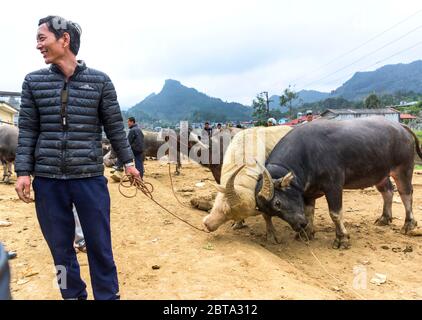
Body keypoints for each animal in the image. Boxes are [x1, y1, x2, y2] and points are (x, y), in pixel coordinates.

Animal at [256, 117, 420, 250]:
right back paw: (385, 218)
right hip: (381, 174)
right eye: (266, 210)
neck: (306, 154)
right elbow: (309, 211)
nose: (299, 225)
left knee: (406, 193)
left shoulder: (333, 186)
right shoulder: (308, 192)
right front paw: (307, 233)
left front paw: (342, 239)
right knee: (388, 191)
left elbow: (335, 213)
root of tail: (400, 126)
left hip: (403, 169)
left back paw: (409, 224)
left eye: (277, 203)